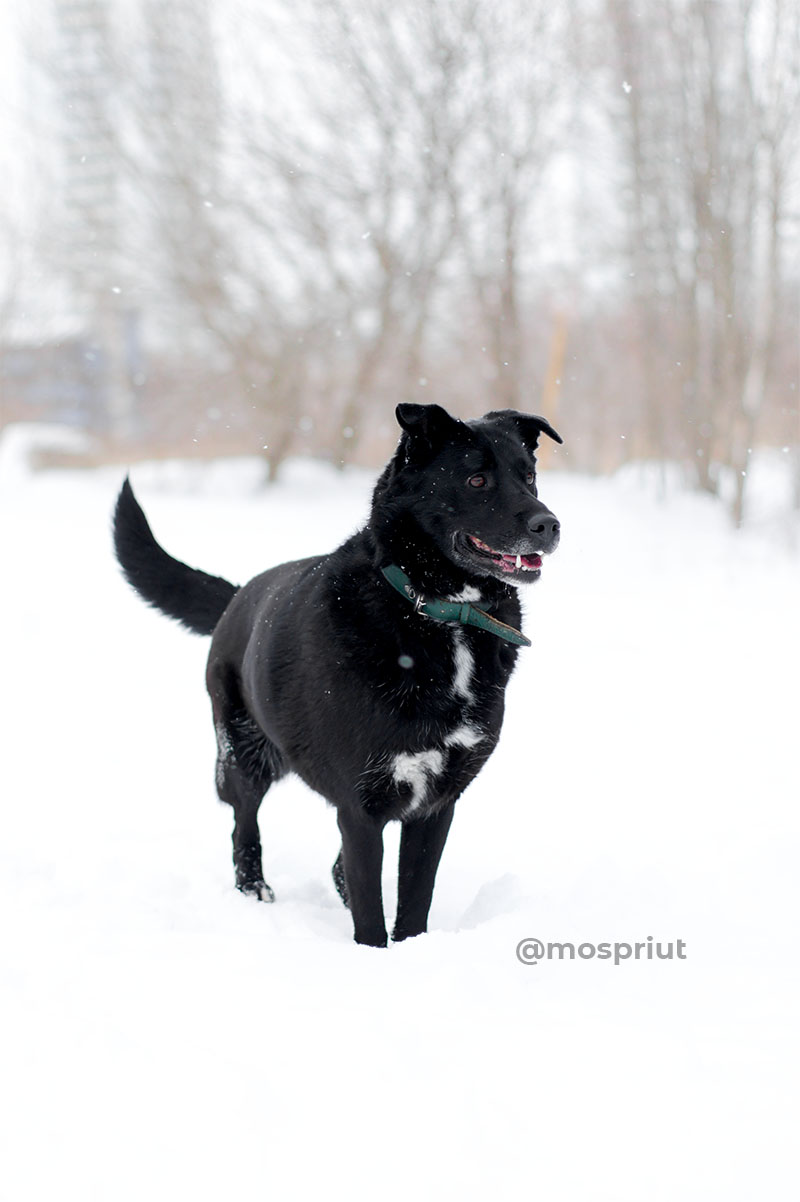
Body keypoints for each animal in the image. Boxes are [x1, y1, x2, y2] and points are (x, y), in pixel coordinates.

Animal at [112, 406, 559, 947]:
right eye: (477, 480)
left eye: (528, 476)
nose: (549, 525)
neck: (438, 614)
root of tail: (238, 595)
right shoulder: (360, 805)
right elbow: (370, 911)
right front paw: (372, 953)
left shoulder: (436, 805)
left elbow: (415, 898)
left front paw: (412, 948)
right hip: (244, 754)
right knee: (244, 823)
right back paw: (253, 888)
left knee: (333, 866)